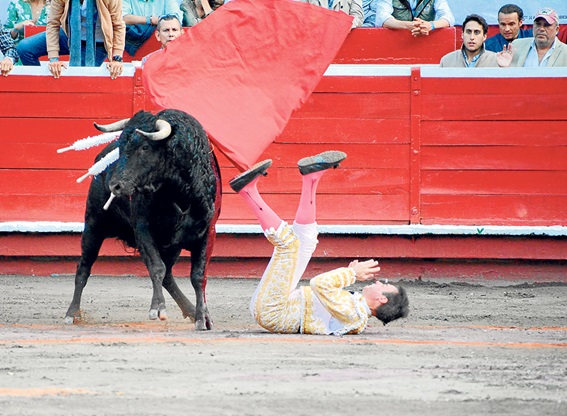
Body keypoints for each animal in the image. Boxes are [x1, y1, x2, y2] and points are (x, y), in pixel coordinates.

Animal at [63, 109, 220, 330]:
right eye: (121, 148)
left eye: (145, 147)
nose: (115, 186)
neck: (178, 191)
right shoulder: (143, 229)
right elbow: (157, 267)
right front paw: (158, 309)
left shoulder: (207, 232)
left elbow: (198, 276)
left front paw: (202, 318)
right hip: (93, 225)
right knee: (83, 268)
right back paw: (72, 313)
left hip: (171, 245)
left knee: (169, 276)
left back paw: (190, 310)